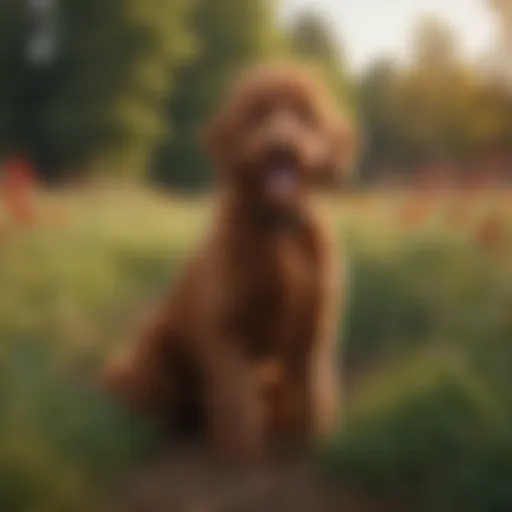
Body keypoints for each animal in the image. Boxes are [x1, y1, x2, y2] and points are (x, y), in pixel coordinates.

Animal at [103, 61, 356, 464]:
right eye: (259, 113)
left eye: (305, 116)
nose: (281, 146)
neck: (277, 228)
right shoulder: (228, 330)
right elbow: (236, 401)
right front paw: (240, 453)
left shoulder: (312, 331)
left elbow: (314, 392)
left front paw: (315, 440)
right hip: (152, 357)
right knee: (149, 403)